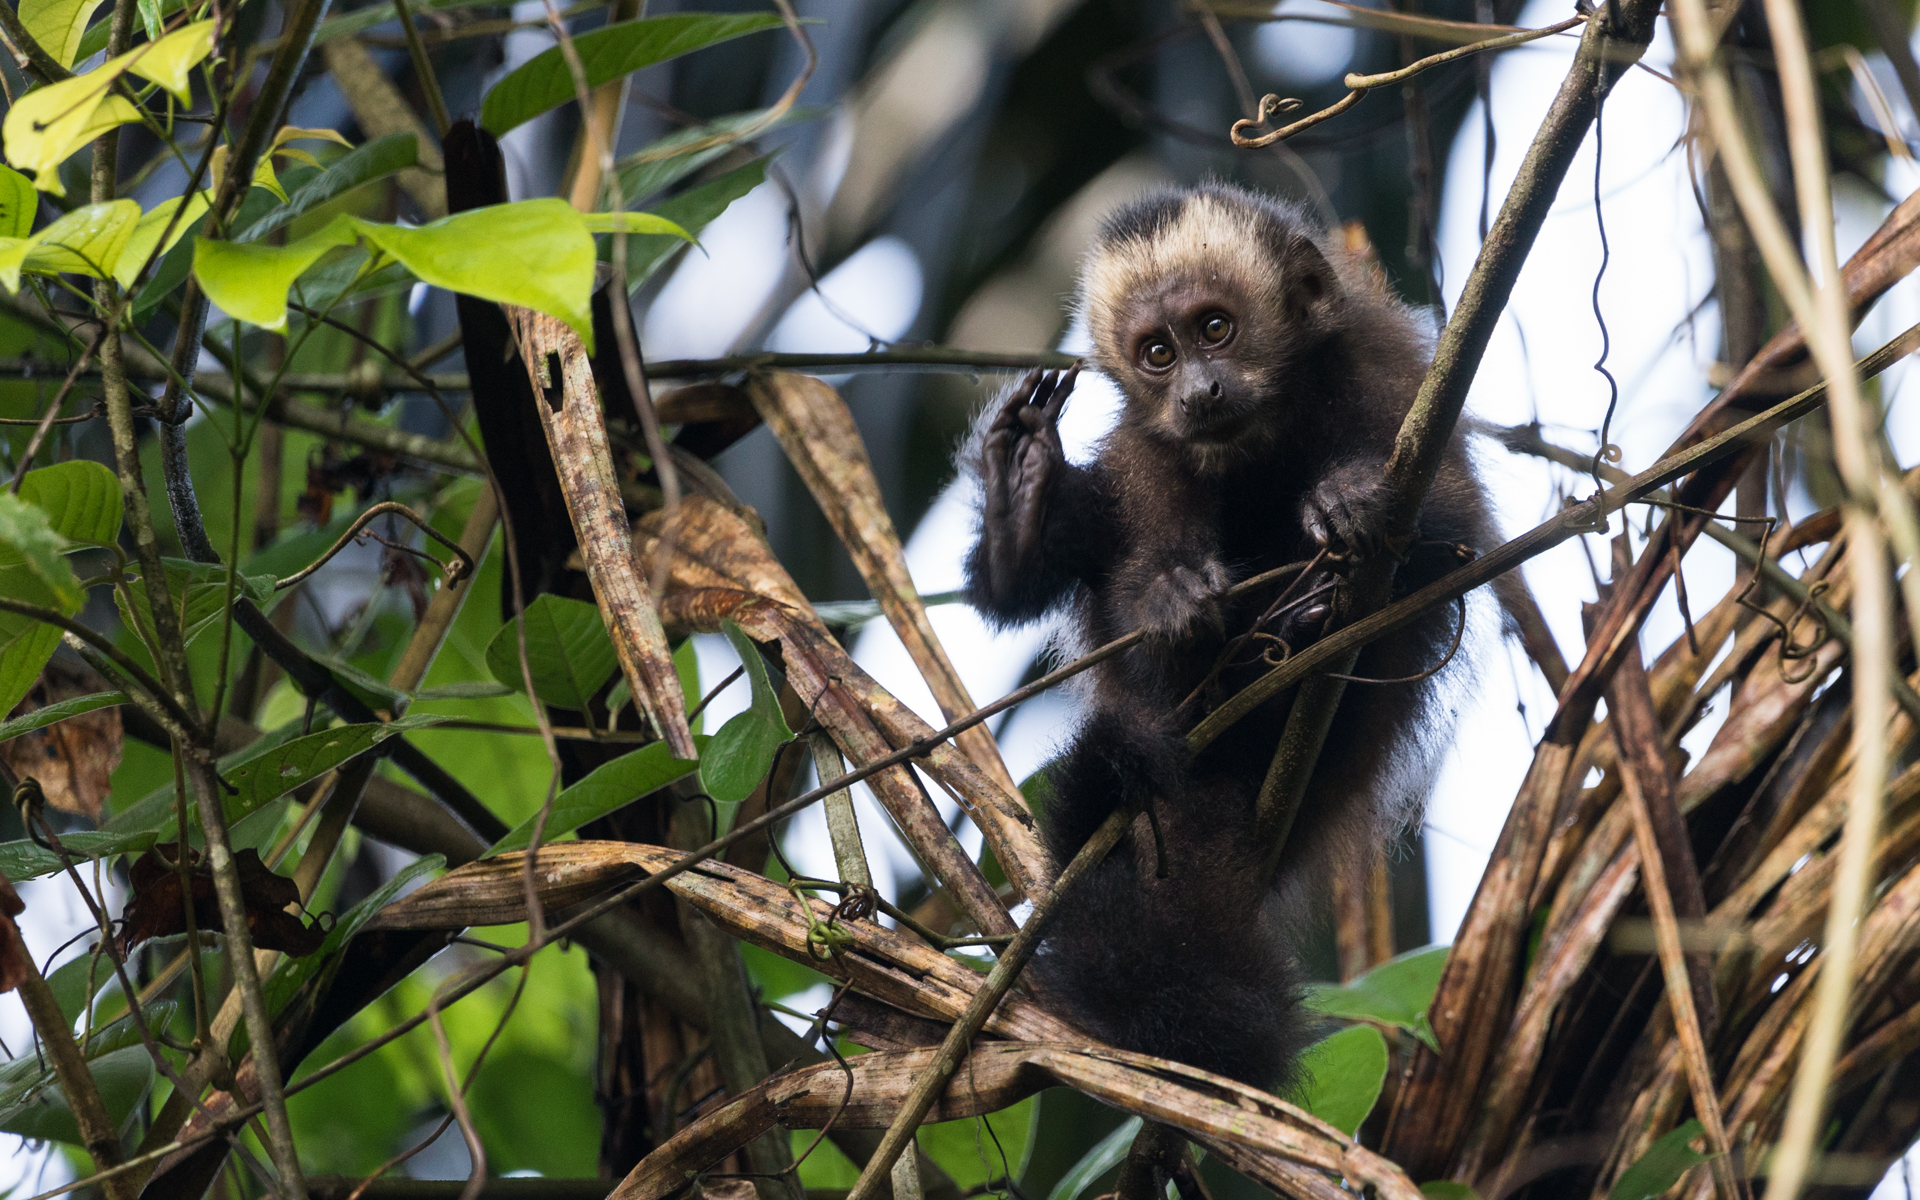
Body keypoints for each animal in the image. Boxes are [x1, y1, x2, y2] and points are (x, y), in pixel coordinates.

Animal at [967, 182, 1489, 1090]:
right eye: (1156, 353)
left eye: (1215, 328)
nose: (1199, 390)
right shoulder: (1152, 442)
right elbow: (1130, 516)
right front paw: (1154, 590)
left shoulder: (1389, 378)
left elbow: (1457, 539)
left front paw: (1349, 498)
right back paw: (1027, 523)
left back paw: (1297, 628)